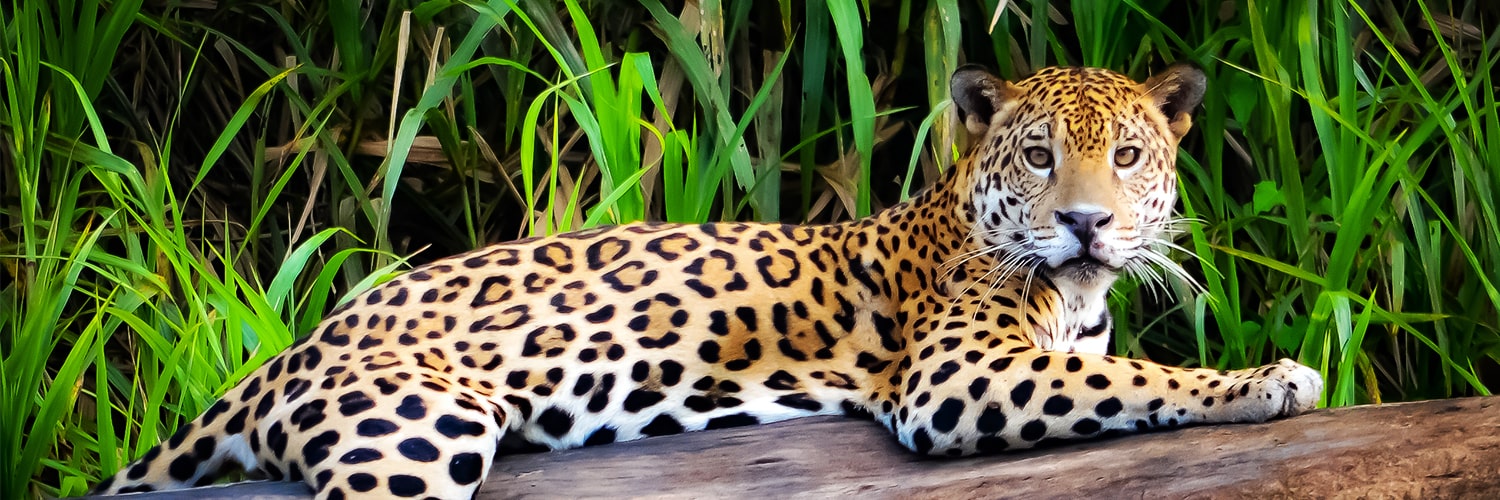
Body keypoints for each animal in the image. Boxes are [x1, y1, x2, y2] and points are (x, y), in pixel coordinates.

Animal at [91, 63, 1322, 499]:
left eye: (1129, 155)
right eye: (1037, 156)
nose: (1084, 222)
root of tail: (293, 348)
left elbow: (1121, 365)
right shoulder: (955, 377)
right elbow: (1143, 377)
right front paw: (1268, 378)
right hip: (412, 428)